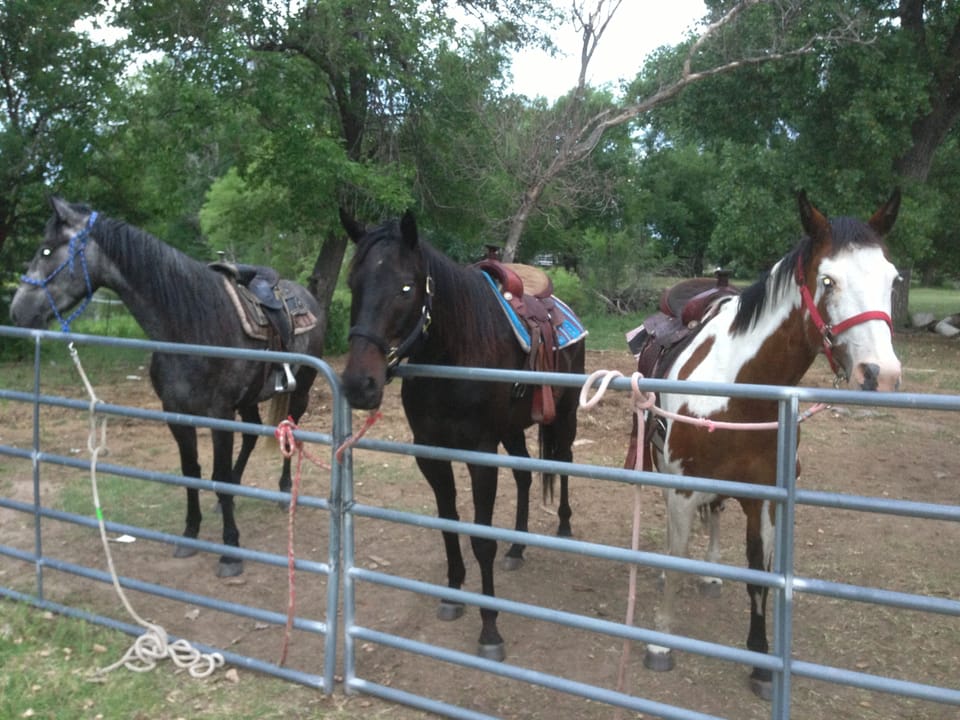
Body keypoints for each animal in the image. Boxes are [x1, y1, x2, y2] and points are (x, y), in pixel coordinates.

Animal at [10, 196, 326, 578]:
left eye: (46, 250)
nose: (17, 311)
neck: (190, 326)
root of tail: (307, 297)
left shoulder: (219, 414)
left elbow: (218, 476)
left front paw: (230, 552)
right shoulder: (175, 413)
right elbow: (191, 473)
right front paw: (190, 534)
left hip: (300, 392)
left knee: (291, 432)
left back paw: (283, 490)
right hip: (248, 399)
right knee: (251, 435)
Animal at [339, 209, 587, 661]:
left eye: (406, 287)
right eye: (353, 283)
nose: (359, 384)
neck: (454, 354)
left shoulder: (480, 455)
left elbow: (481, 540)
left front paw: (490, 629)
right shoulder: (431, 453)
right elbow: (448, 523)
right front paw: (453, 593)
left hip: (565, 414)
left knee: (562, 461)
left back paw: (562, 525)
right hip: (513, 429)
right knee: (525, 474)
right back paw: (517, 547)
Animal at [625, 189, 902, 699]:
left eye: (892, 280)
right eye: (828, 280)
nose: (881, 374)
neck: (740, 391)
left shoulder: (766, 499)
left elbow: (758, 572)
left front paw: (760, 659)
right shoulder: (682, 488)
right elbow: (676, 553)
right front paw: (661, 642)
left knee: (715, 514)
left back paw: (712, 573)